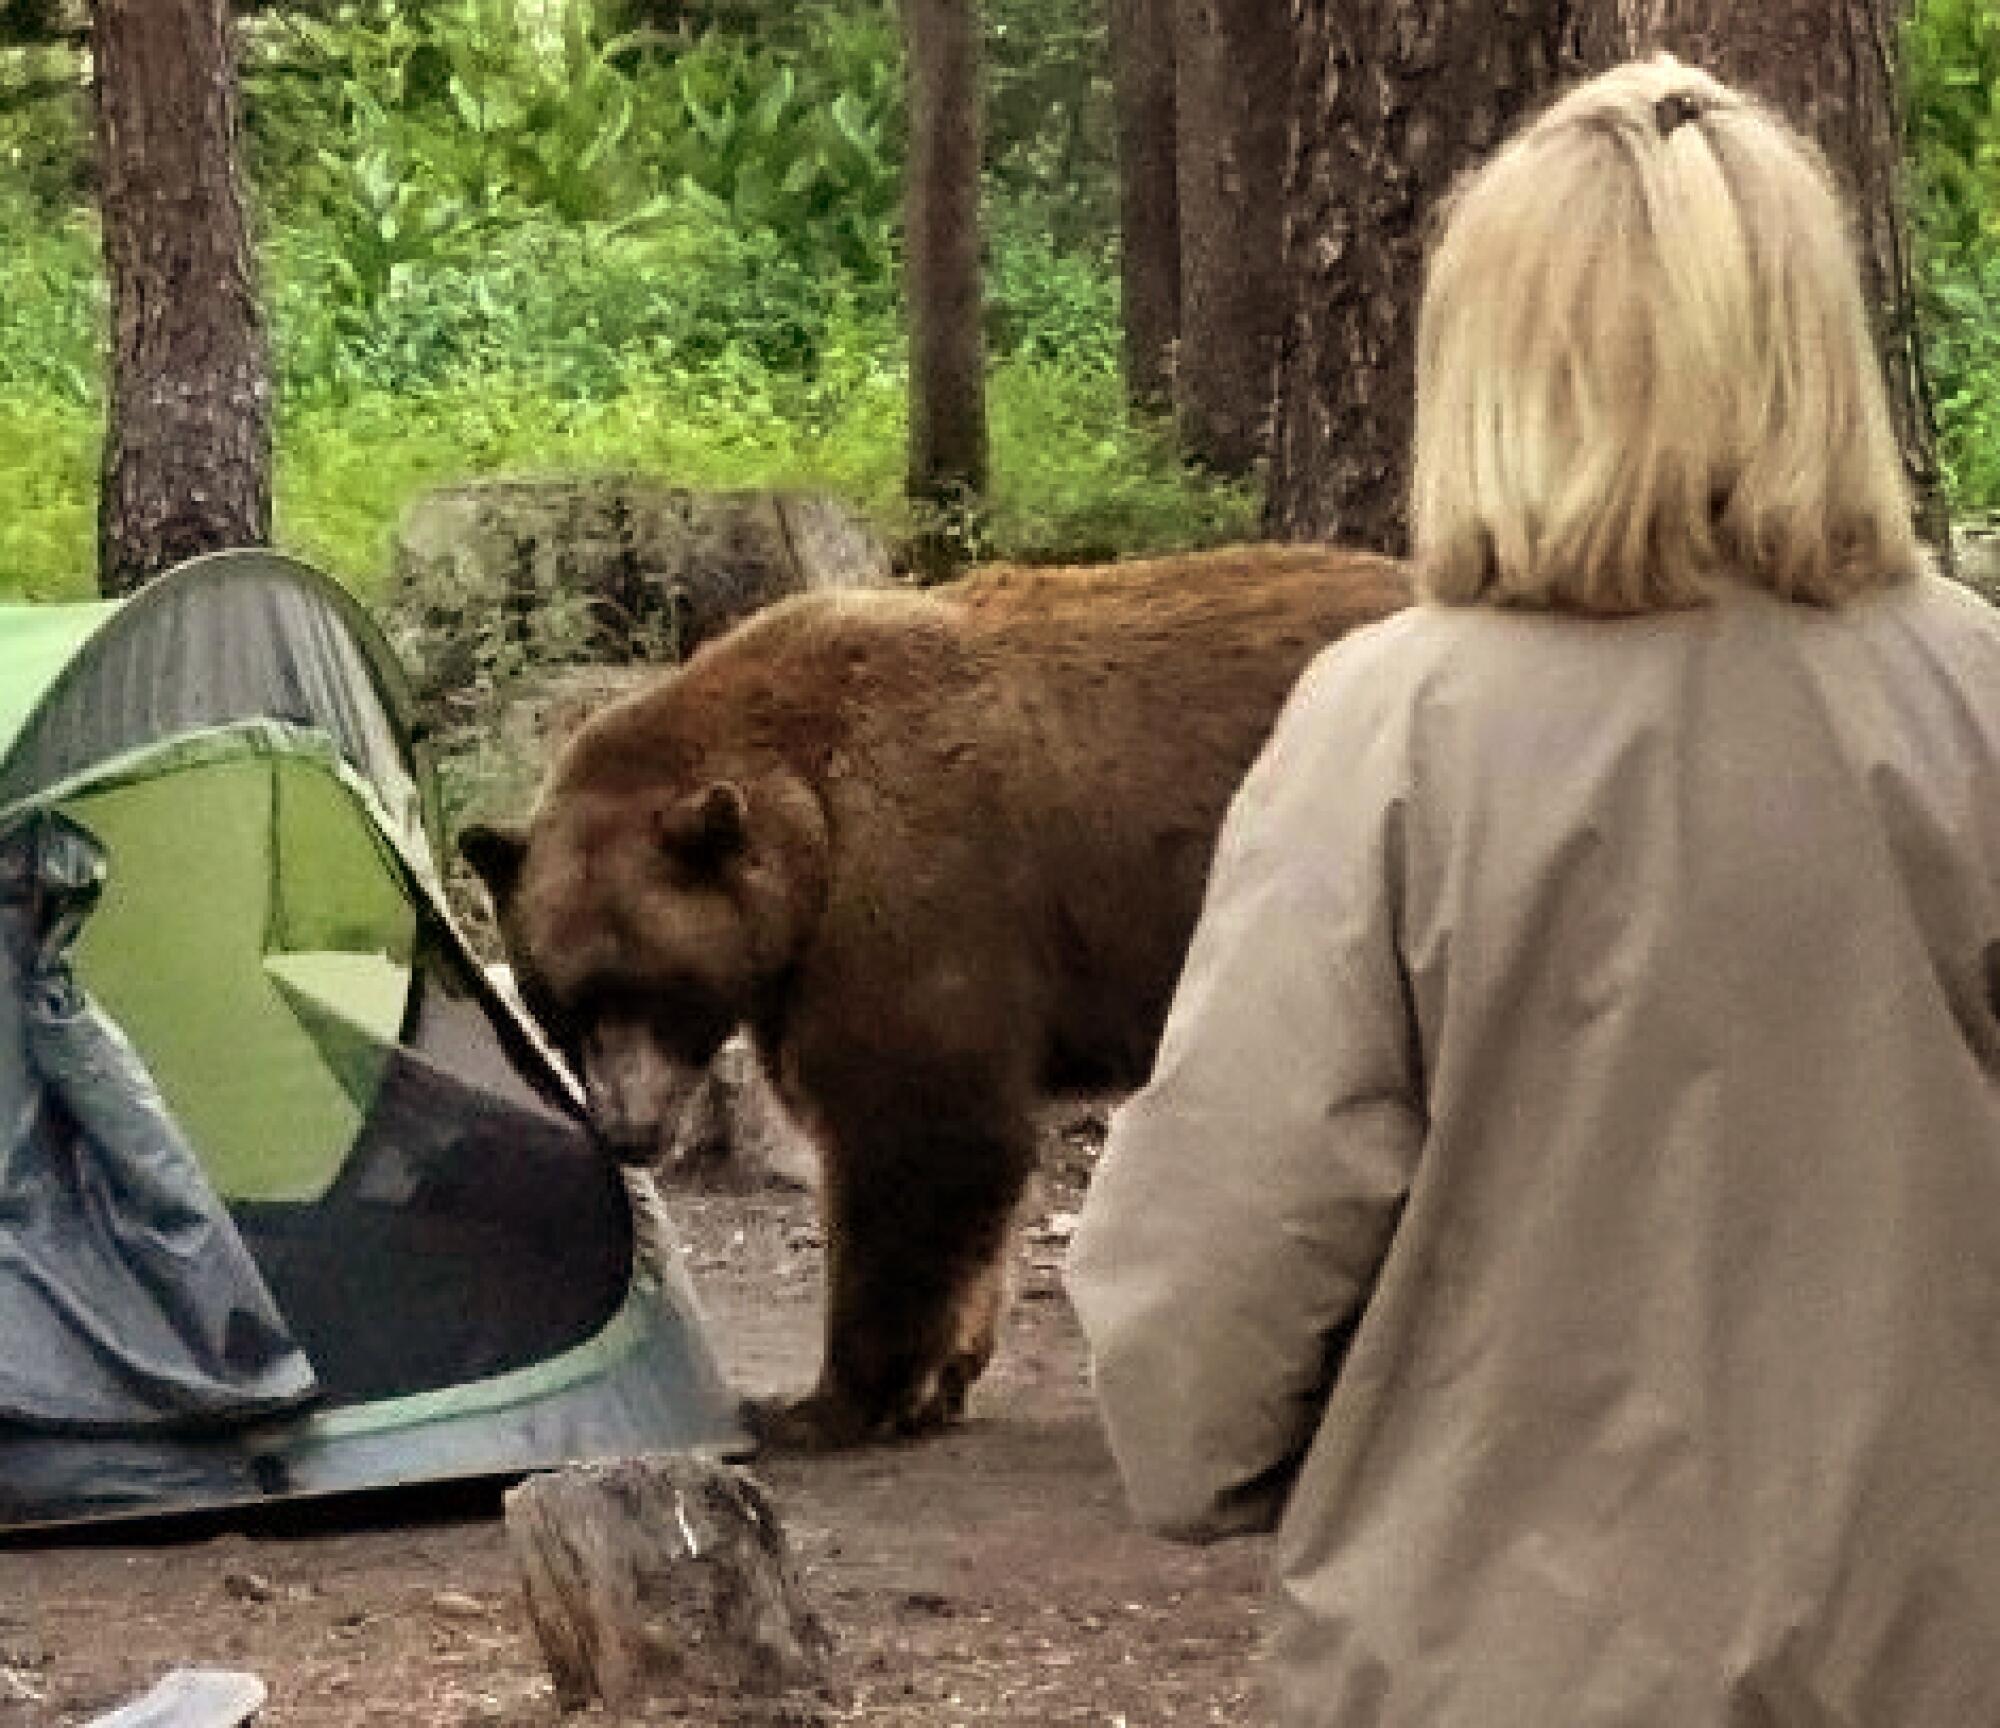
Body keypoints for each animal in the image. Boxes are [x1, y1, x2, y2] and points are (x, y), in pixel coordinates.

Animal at [462, 548, 1416, 1448]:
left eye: (658, 987)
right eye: (557, 1001)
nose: (629, 1129)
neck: (807, 831)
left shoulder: (921, 892)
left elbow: (918, 1137)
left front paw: (827, 1401)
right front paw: (939, 1381)